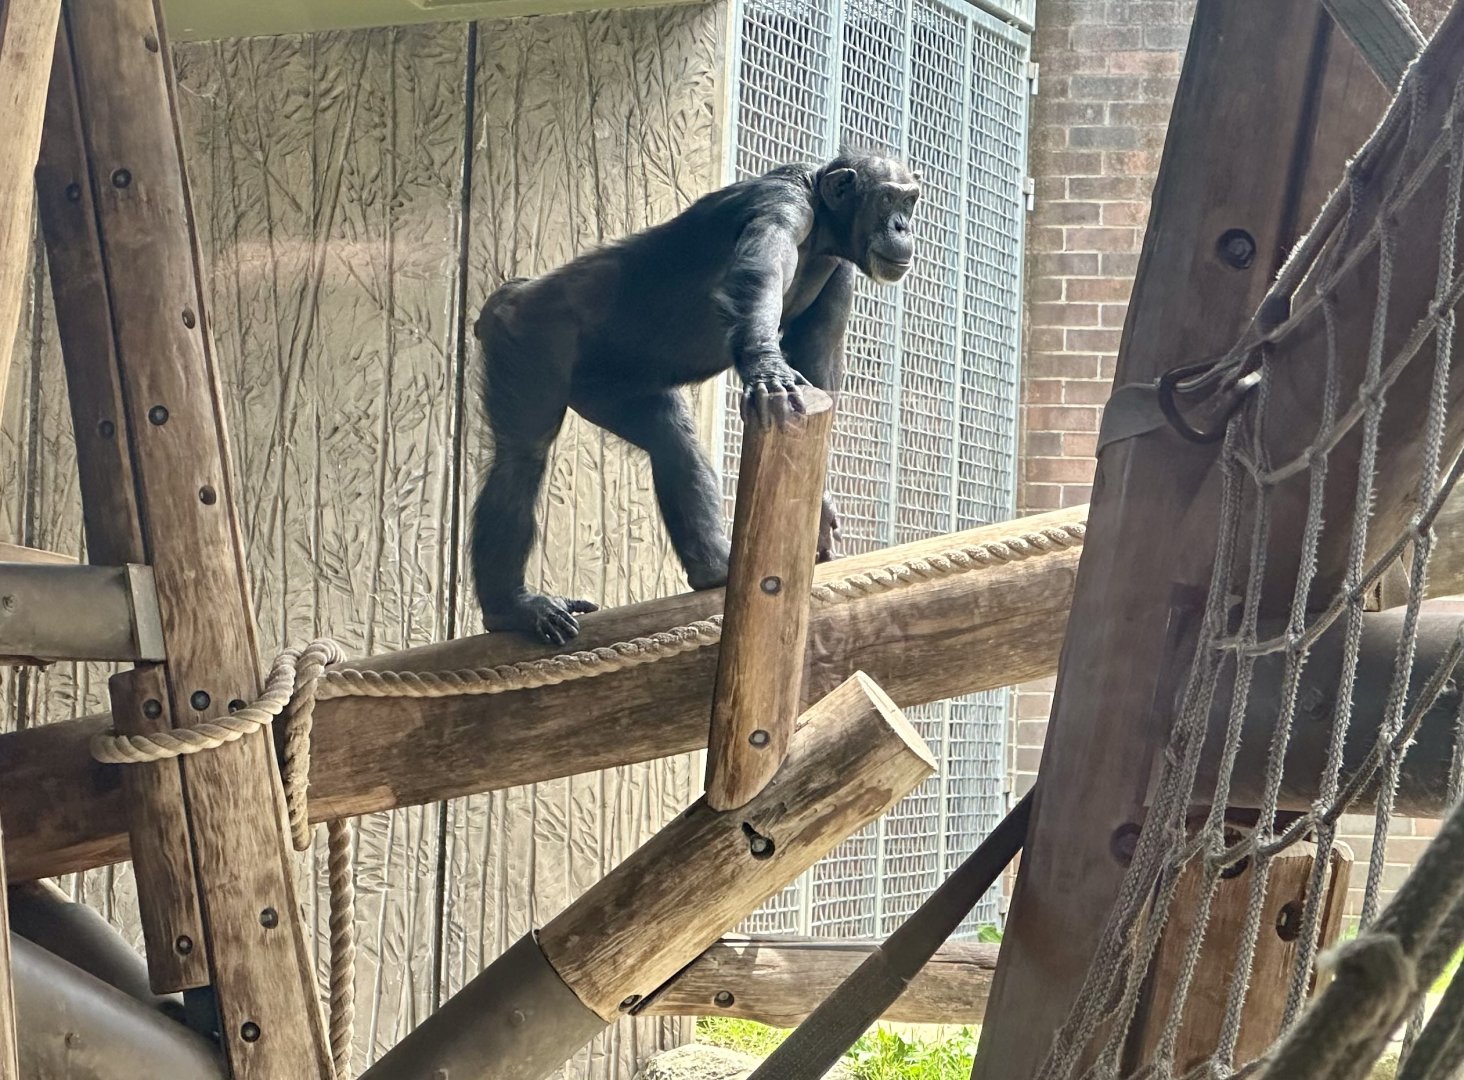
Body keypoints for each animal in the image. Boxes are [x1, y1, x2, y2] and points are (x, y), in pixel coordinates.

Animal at [471, 151, 921, 645]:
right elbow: (758, 275)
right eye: (887, 199)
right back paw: (511, 607)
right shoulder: (781, 203)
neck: (822, 225)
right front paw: (767, 366)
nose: (902, 225)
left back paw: (713, 570)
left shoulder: (842, 273)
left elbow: (818, 358)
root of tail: (509, 293)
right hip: (527, 335)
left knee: (672, 438)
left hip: (606, 384)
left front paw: (823, 510)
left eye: (910, 200)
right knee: (521, 456)